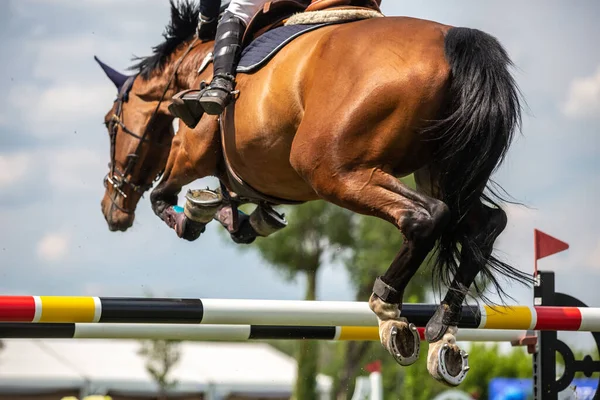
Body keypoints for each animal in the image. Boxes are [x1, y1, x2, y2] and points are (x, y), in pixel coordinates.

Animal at [96, 0, 532, 388]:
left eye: (110, 123)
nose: (111, 210)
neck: (193, 67)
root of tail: (453, 40)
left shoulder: (189, 153)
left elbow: (163, 198)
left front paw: (195, 214)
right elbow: (236, 205)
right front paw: (246, 219)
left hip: (333, 171)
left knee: (425, 217)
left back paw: (390, 311)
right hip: (443, 174)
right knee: (485, 224)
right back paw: (443, 330)